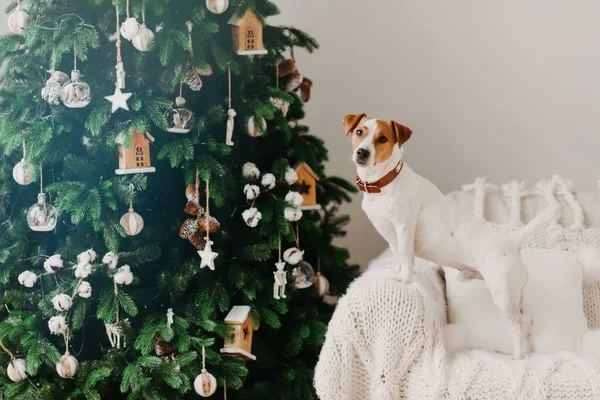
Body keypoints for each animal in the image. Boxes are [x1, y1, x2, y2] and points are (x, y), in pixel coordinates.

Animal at [344, 113, 560, 360]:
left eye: (382, 138)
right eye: (359, 132)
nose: (362, 152)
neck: (385, 181)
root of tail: (511, 241)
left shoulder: (404, 227)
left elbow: (407, 257)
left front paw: (405, 278)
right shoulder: (390, 233)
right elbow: (398, 255)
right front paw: (396, 270)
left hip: (503, 296)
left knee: (520, 324)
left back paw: (518, 356)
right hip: (515, 296)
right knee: (529, 321)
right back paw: (526, 351)